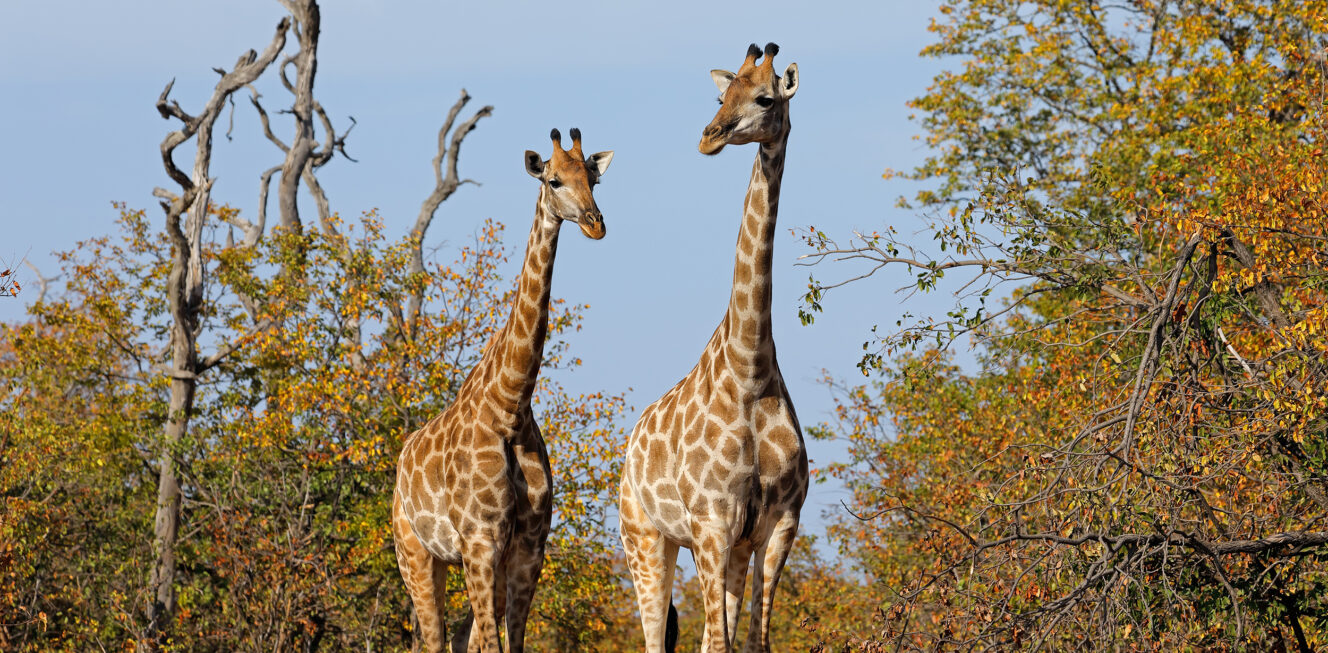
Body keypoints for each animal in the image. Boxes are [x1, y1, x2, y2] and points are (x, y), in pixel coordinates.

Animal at [393, 128, 616, 653]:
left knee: (459, 637)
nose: (595, 225)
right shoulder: (479, 541)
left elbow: (510, 642)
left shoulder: (528, 548)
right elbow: (491, 644)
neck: (510, 405)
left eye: (593, 177)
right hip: (415, 553)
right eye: (554, 180)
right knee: (432, 638)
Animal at [618, 43, 802, 650]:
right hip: (645, 537)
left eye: (765, 98)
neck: (751, 371)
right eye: (722, 95)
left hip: (725, 547)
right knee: (655, 636)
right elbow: (719, 640)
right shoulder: (711, 522)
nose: (709, 135)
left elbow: (751, 641)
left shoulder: (777, 525)